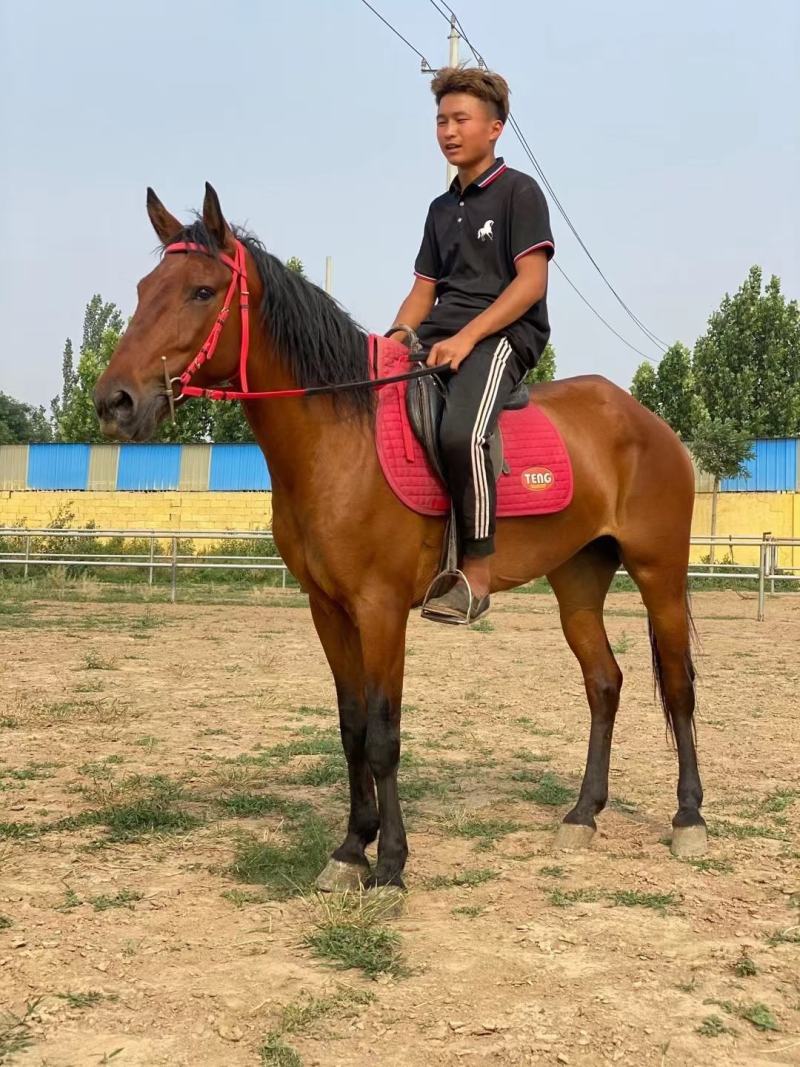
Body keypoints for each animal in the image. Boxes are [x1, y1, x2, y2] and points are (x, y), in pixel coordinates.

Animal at [94, 183, 706, 891]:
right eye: (144, 289)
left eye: (200, 290)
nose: (114, 402)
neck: (341, 437)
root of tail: (647, 422)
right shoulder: (328, 610)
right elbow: (352, 726)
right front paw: (349, 848)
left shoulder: (381, 609)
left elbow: (384, 733)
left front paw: (389, 862)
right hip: (578, 578)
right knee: (604, 683)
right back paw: (583, 814)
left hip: (659, 573)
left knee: (678, 685)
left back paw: (689, 818)